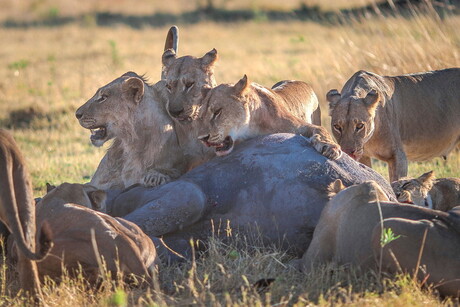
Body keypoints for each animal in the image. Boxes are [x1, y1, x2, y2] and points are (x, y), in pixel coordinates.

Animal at [328, 68, 460, 182]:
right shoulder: (364, 157)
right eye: (337, 127)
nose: (348, 153)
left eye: (360, 126)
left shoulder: (398, 157)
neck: (369, 140)